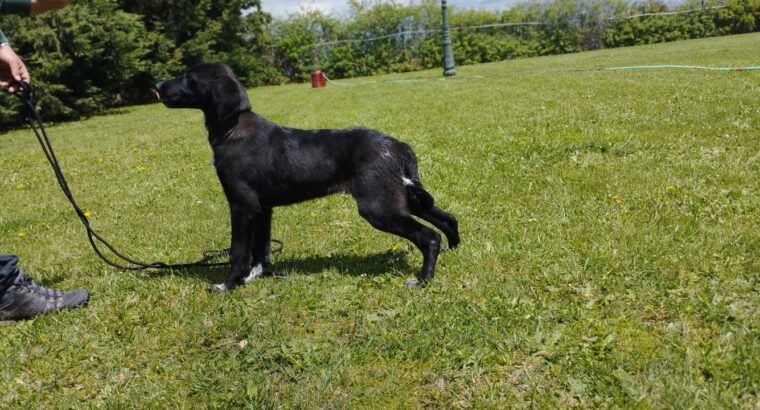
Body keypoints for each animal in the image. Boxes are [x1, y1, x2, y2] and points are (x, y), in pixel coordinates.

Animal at [154, 62, 458, 290]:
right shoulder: (262, 208)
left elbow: (239, 251)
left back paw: (422, 280)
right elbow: (261, 249)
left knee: (430, 236)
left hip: (379, 206)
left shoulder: (242, 205)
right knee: (448, 219)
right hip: (405, 196)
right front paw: (257, 277)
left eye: (190, 77)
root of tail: (398, 146)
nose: (156, 87)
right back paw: (453, 250)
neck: (232, 130)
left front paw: (227, 285)